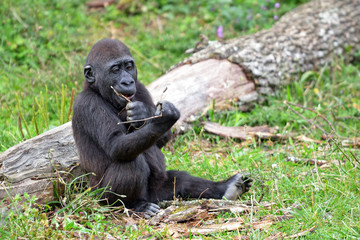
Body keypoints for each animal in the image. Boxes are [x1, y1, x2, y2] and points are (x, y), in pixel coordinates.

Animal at [73, 38, 252, 215]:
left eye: (129, 67)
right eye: (115, 70)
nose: (128, 81)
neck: (97, 90)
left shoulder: (140, 86)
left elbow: (161, 140)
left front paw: (143, 113)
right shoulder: (88, 103)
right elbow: (115, 144)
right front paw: (164, 119)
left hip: (157, 193)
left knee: (180, 180)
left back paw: (227, 187)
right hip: (100, 198)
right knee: (130, 164)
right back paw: (135, 205)